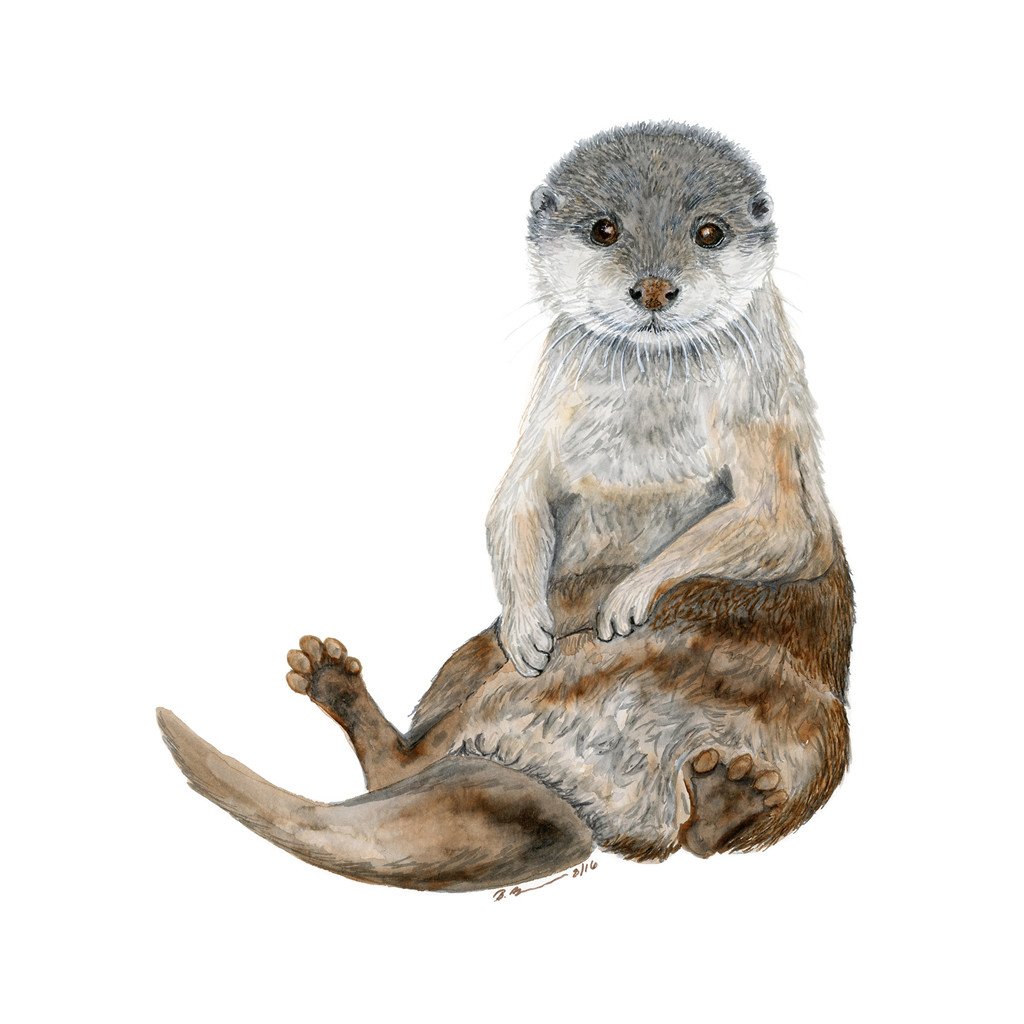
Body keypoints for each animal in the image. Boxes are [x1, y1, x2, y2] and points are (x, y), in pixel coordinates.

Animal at [158, 122, 853, 892]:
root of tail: (577, 793)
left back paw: (724, 798)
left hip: (824, 735)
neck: (644, 418)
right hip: (470, 659)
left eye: (709, 231)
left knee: (702, 838)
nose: (654, 287)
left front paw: (629, 597)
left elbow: (783, 522)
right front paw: (528, 627)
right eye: (604, 228)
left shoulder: (762, 407)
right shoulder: (550, 395)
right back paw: (337, 679)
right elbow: (515, 498)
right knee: (402, 762)